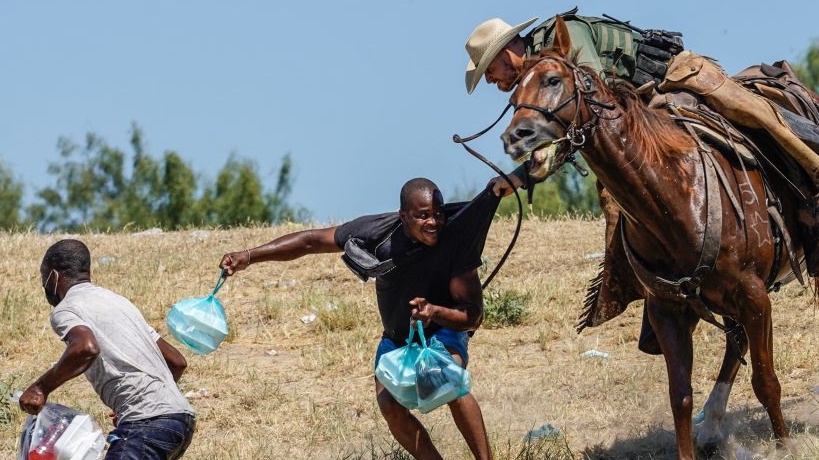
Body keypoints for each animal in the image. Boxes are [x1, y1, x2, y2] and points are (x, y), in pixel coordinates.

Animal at [500, 16, 812, 458]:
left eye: (552, 80)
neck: (675, 195)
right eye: (514, 93)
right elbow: (680, 396)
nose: (516, 137)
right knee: (734, 346)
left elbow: (766, 381)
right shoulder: (667, 310)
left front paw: (784, 444)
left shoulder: (754, 296)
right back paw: (712, 425)